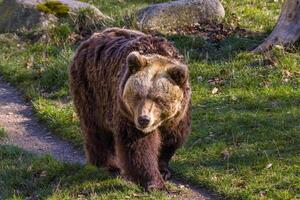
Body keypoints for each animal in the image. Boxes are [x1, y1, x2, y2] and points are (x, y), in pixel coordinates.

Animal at [69, 27, 190, 191]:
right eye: (138, 95)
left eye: (158, 99)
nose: (144, 120)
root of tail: (90, 38)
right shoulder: (126, 113)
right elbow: (138, 147)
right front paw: (154, 183)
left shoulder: (178, 116)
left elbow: (171, 139)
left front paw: (164, 170)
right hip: (91, 89)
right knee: (96, 130)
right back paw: (106, 164)